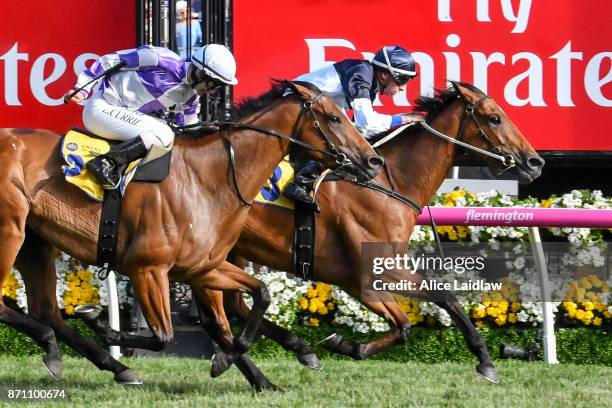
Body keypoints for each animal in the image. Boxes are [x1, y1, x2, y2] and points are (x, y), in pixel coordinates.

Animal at [0, 81, 382, 384]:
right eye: (334, 117)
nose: (373, 161)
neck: (209, 177)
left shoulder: (202, 267)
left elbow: (259, 296)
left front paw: (234, 363)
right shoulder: (147, 268)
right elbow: (163, 337)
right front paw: (99, 321)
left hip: (35, 242)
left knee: (46, 310)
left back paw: (91, 361)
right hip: (10, 232)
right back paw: (62, 347)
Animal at [213, 81, 544, 384]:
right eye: (494, 118)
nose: (535, 161)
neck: (390, 181)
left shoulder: (355, 279)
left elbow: (404, 325)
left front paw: (345, 345)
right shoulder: (374, 269)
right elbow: (442, 298)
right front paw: (485, 360)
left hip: (231, 253)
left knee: (233, 308)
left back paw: (282, 361)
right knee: (219, 317)